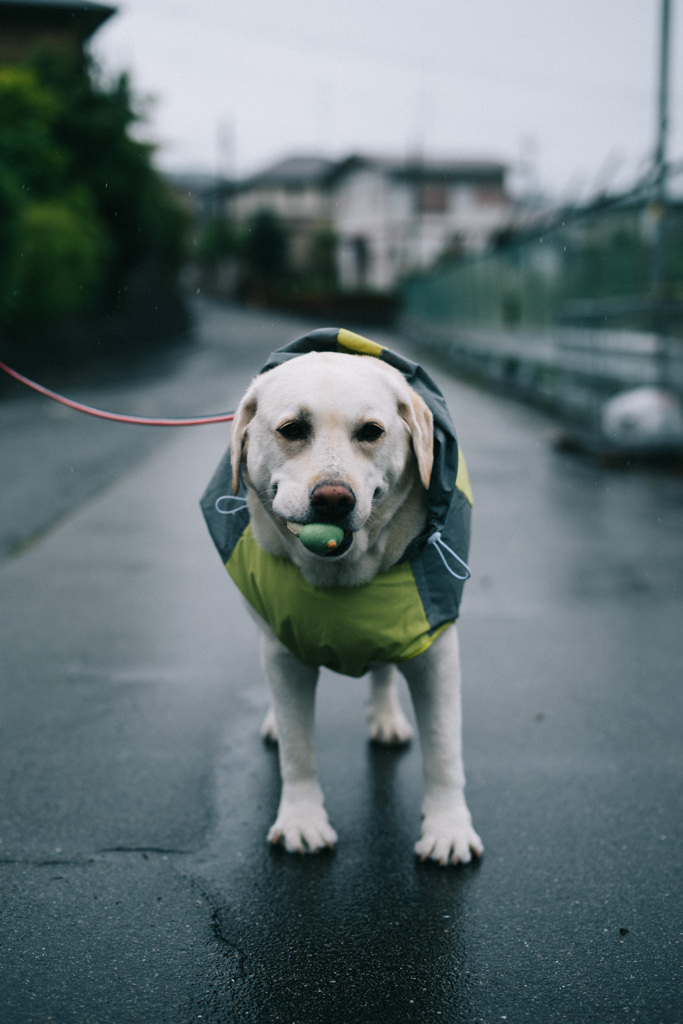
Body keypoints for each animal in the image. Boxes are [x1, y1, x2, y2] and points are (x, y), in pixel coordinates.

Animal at [205, 331, 483, 868]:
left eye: (371, 432)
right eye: (292, 429)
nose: (333, 499)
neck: (341, 577)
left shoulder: (436, 650)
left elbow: (445, 750)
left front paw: (448, 829)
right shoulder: (284, 653)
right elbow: (298, 749)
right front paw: (302, 821)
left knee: (382, 670)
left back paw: (385, 718)